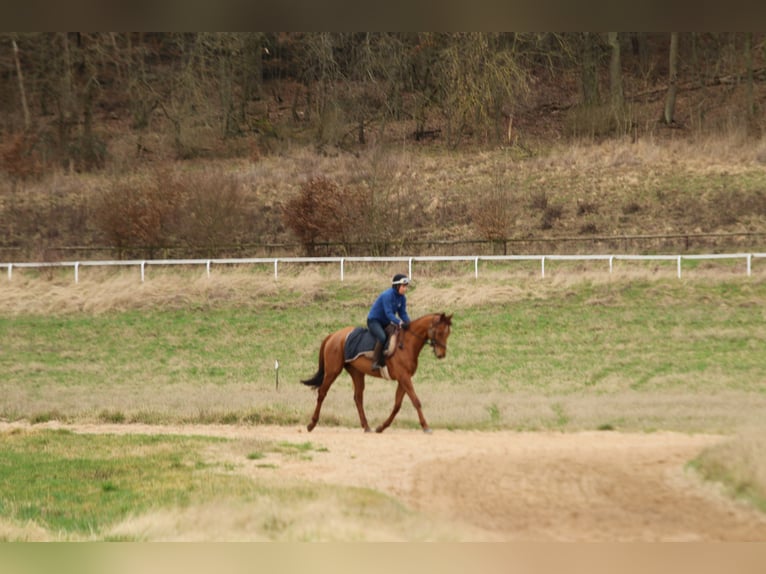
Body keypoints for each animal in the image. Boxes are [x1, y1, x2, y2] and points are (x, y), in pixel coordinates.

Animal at [301, 312, 453, 433]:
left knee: (358, 398)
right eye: (439, 332)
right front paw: (426, 426)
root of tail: (334, 335)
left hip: (357, 373)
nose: (441, 354)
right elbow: (416, 401)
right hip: (332, 371)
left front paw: (381, 427)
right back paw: (311, 424)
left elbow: (397, 405)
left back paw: (366, 426)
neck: (406, 344)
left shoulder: (403, 379)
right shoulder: (404, 378)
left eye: (448, 333)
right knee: (322, 393)